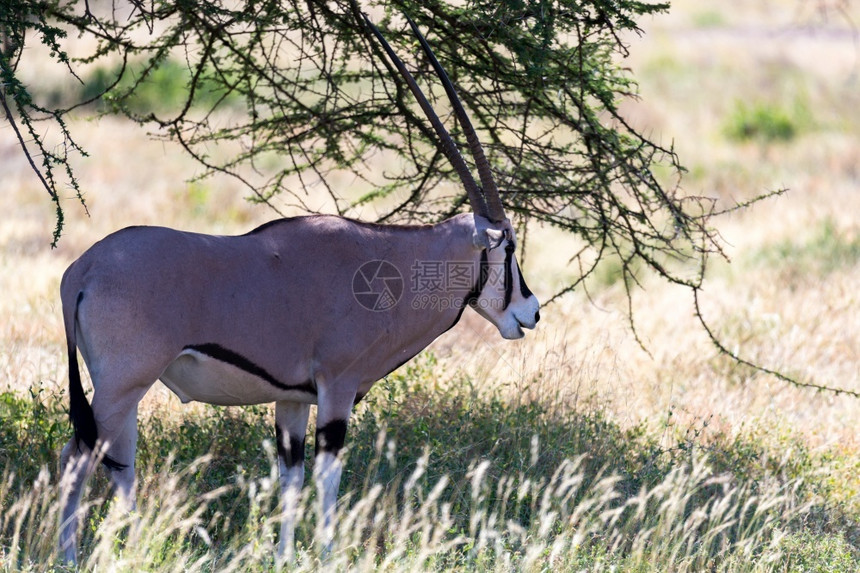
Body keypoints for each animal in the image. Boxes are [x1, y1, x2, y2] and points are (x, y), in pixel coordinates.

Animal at [60, 14, 540, 564]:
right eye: (508, 247)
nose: (531, 311)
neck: (390, 263)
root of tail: (83, 270)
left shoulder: (291, 399)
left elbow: (290, 477)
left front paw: (284, 556)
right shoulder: (338, 386)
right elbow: (329, 475)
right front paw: (329, 552)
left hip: (124, 391)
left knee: (119, 465)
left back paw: (136, 547)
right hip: (122, 385)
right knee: (77, 458)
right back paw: (68, 555)